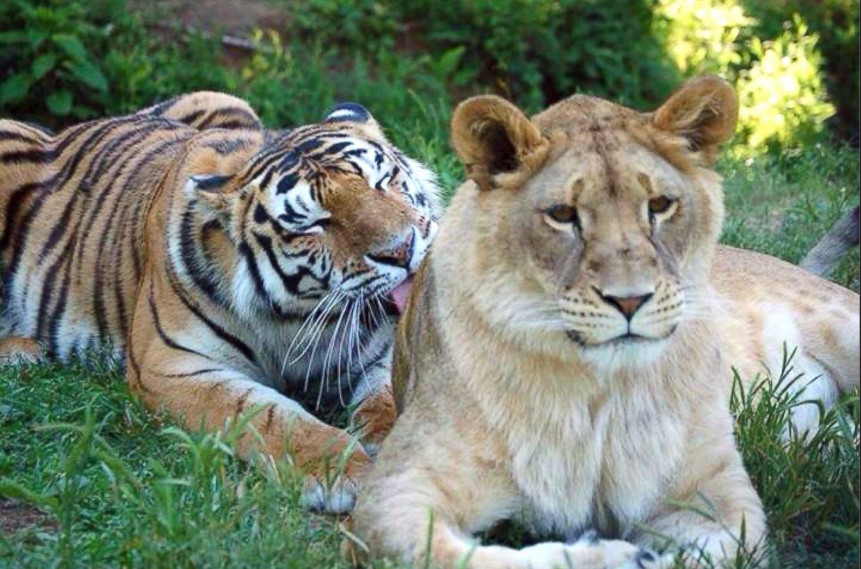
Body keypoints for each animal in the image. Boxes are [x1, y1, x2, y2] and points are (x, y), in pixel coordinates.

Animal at [0, 92, 439, 513]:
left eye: (382, 182)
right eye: (314, 224)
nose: (401, 250)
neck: (299, 317)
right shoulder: (174, 365)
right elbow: (269, 416)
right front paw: (342, 472)